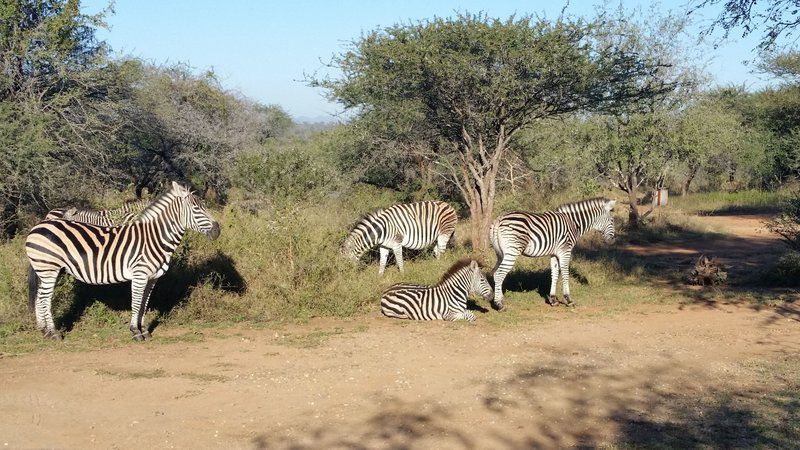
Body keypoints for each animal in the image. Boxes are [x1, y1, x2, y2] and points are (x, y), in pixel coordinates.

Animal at [25, 181, 219, 340]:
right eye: (197, 209)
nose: (218, 230)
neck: (154, 237)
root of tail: (39, 225)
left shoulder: (152, 277)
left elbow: (144, 303)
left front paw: (144, 330)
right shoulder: (140, 274)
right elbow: (137, 301)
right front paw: (135, 332)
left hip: (47, 270)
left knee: (39, 298)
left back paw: (43, 330)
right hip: (48, 268)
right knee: (44, 299)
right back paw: (53, 333)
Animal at [488, 199, 620, 312]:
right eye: (612, 221)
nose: (613, 240)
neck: (573, 223)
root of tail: (499, 219)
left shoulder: (554, 254)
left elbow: (555, 274)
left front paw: (553, 300)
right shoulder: (565, 251)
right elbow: (565, 275)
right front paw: (568, 299)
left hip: (500, 254)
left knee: (495, 273)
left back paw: (499, 300)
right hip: (512, 252)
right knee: (499, 274)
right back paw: (499, 305)